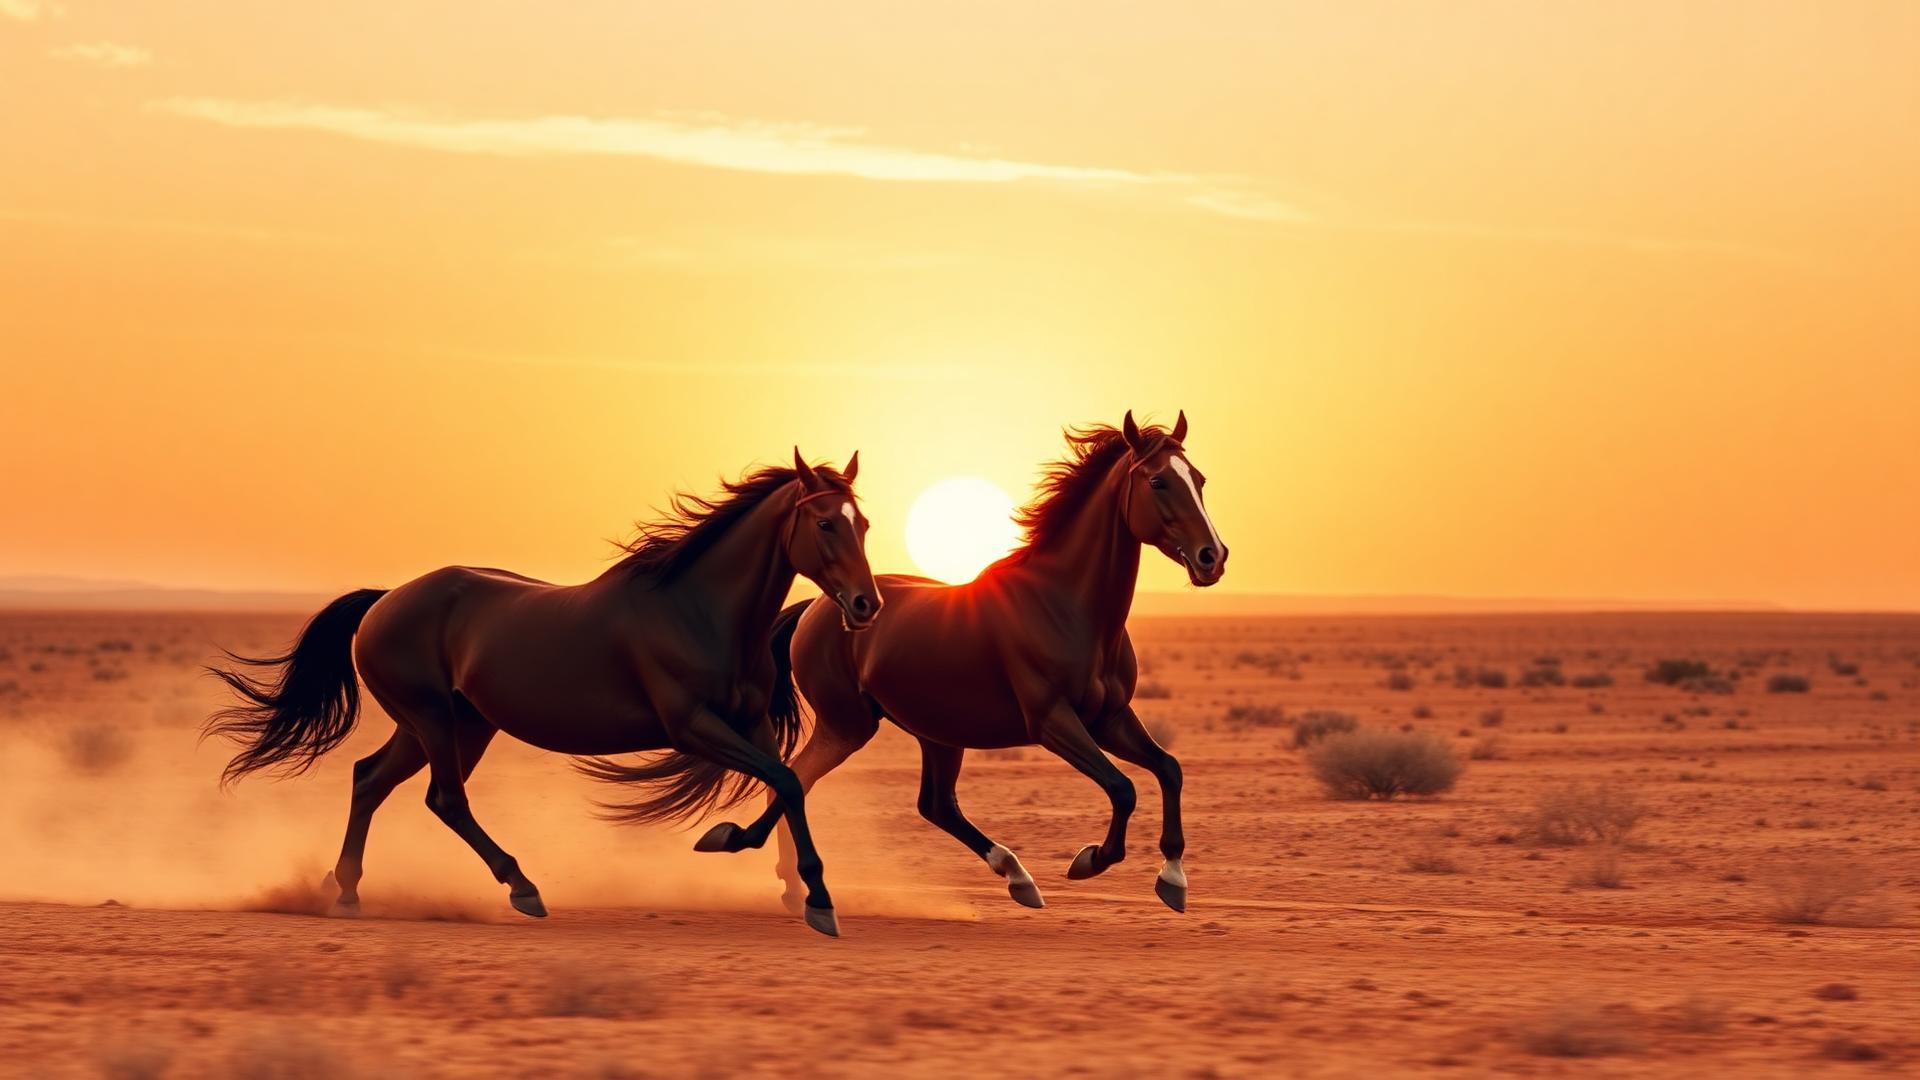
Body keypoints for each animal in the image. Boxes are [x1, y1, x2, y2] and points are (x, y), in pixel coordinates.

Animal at [205, 451, 879, 937]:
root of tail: (386, 599)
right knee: (444, 798)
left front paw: (779, 874)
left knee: (370, 779)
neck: (699, 611)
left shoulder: (751, 724)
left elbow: (786, 784)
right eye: (825, 523)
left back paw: (343, 891)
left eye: (864, 525)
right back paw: (521, 887)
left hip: (451, 724)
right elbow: (787, 781)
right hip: (433, 718)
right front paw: (812, 896)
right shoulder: (692, 726)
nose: (865, 605)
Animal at [696, 412, 1226, 914]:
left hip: (936, 732)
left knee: (931, 804)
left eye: (1199, 479)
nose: (1212, 558)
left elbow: (1169, 769)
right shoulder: (1053, 722)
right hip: (848, 725)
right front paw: (1091, 860)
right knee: (794, 781)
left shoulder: (1110, 717)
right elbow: (1123, 787)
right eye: (1158, 482)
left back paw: (1017, 877)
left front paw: (1173, 878)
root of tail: (819, 608)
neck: (1066, 607)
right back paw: (766, 866)